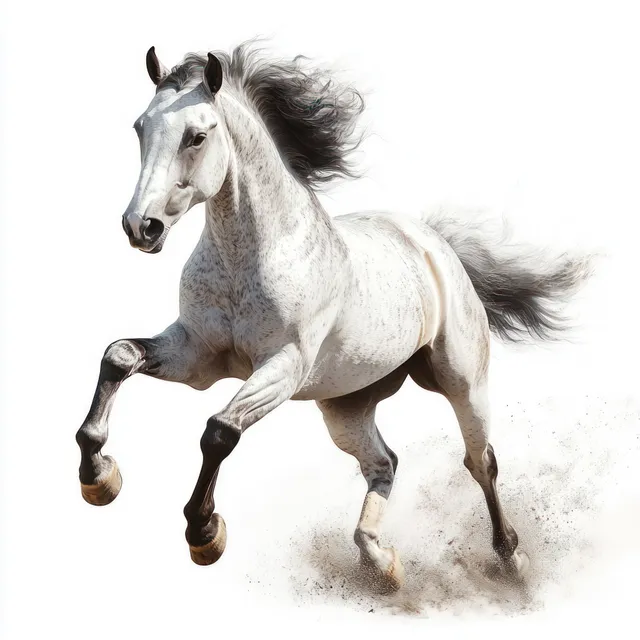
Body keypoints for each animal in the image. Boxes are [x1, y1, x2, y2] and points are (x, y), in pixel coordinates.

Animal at [76, 42, 592, 593]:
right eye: (140, 128)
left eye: (197, 135)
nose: (141, 227)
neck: (251, 255)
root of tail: (433, 242)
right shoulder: (197, 355)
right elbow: (118, 355)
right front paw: (99, 477)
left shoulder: (283, 366)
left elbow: (219, 431)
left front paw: (204, 532)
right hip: (346, 406)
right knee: (383, 463)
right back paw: (380, 563)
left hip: (461, 381)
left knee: (481, 462)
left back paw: (509, 560)